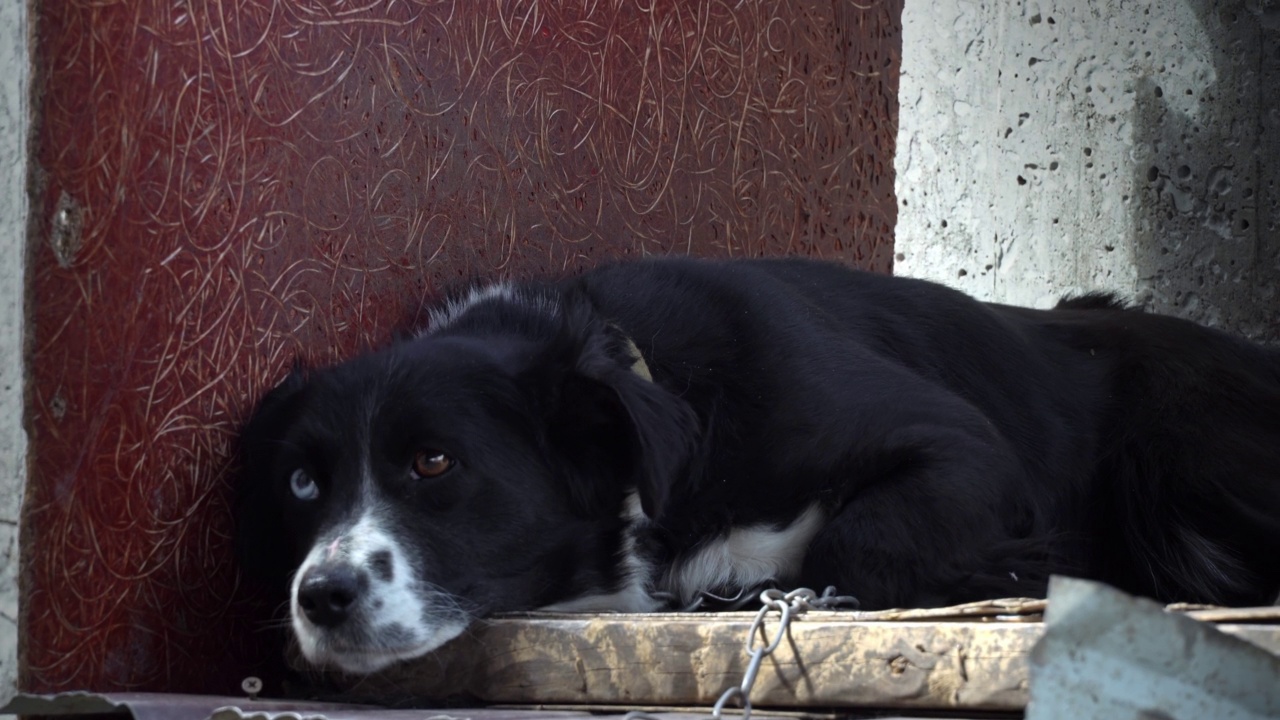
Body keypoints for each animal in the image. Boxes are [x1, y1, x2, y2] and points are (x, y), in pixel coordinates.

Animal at [235, 256, 1280, 671]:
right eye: (301, 482)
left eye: (434, 461)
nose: (320, 597)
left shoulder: (962, 445)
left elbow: (856, 545)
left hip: (1179, 448)